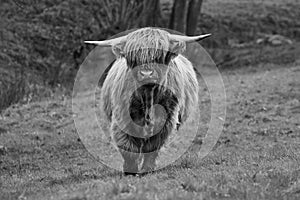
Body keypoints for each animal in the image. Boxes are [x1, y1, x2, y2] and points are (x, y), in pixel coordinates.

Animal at [85, 28, 211, 175]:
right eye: (133, 58)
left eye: (160, 55)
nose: (146, 74)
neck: (148, 97)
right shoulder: (123, 117)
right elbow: (128, 147)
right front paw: (130, 170)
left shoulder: (166, 120)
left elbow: (153, 147)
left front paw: (147, 169)